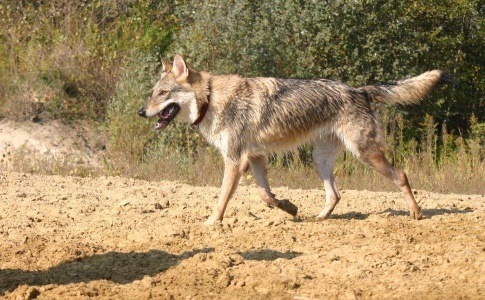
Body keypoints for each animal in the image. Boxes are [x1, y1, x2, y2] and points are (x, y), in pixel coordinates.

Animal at [138, 54, 448, 225]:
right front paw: (290, 207)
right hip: (320, 160)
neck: (212, 99)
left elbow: (222, 198)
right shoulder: (256, 158)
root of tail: (359, 90)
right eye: (154, 93)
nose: (141, 111)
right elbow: (266, 195)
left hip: (365, 154)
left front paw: (211, 224)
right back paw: (318, 219)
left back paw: (416, 214)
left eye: (163, 93)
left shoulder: (235, 161)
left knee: (402, 176)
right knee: (335, 195)